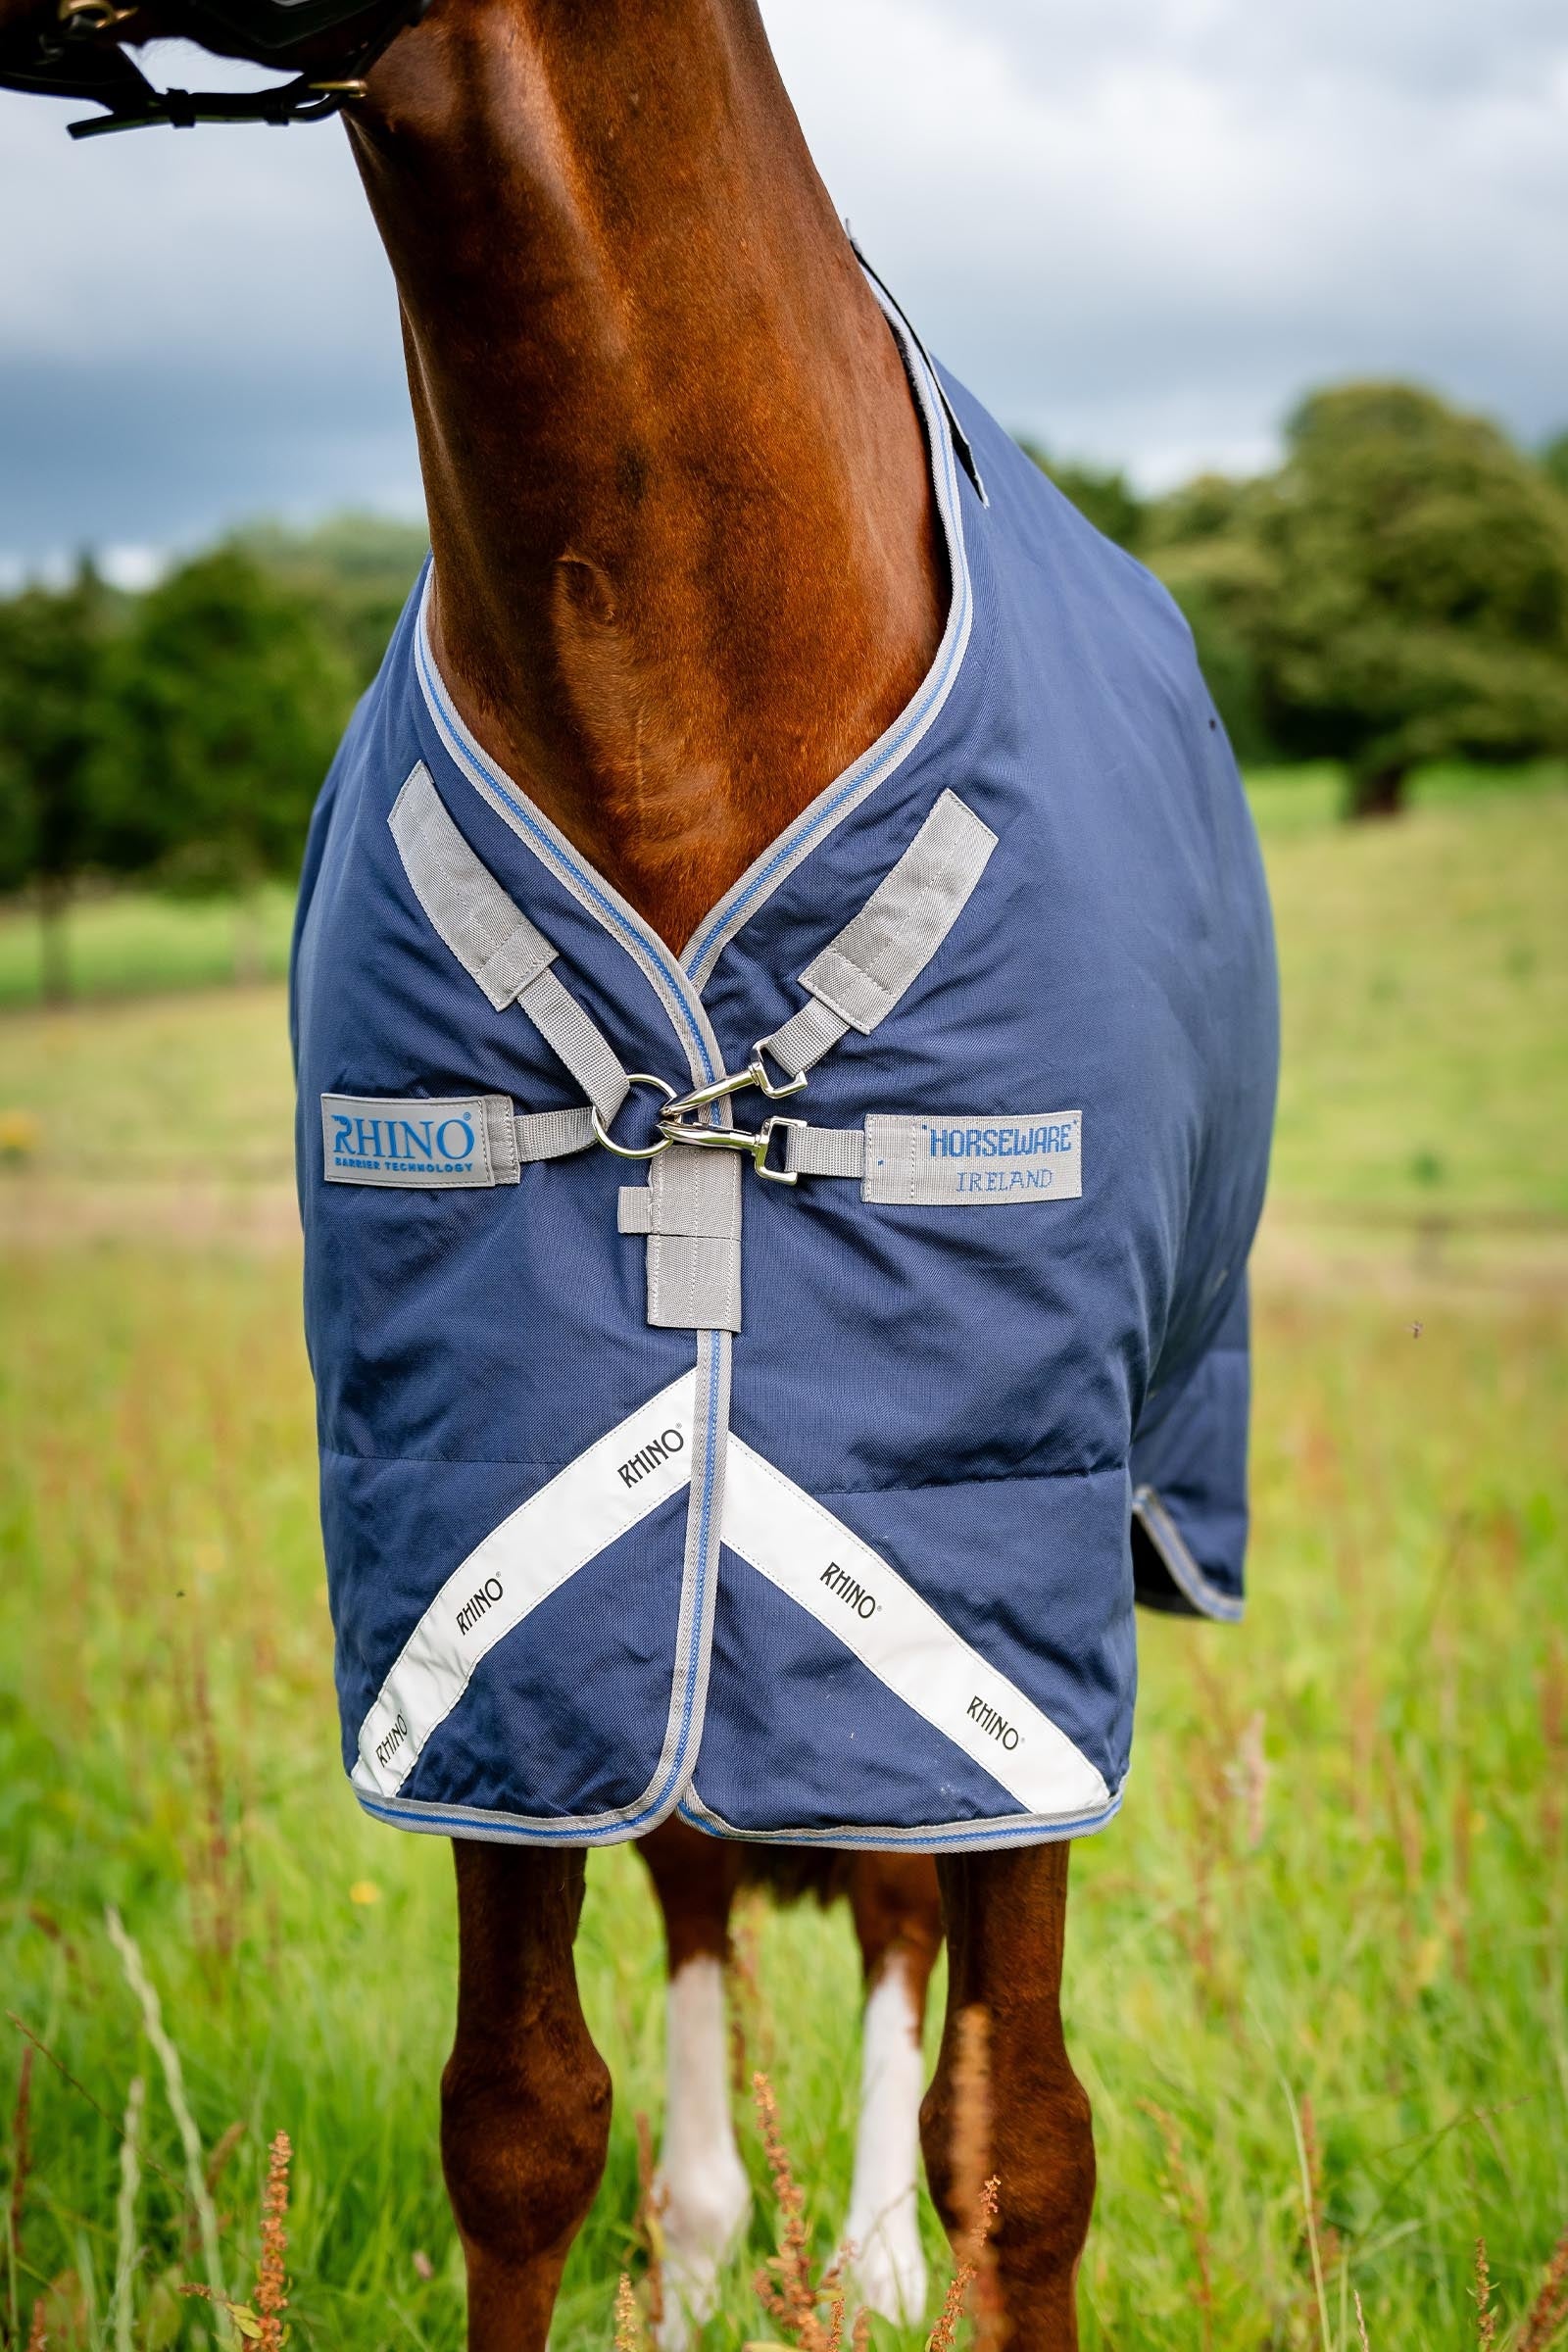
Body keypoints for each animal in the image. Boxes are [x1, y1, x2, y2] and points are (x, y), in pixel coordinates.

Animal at [2, 4, 1278, 2346]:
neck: (677, 690)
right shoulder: (473, 1594)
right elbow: (519, 2119)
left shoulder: (1016, 1585)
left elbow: (1020, 2143)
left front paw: (909, 2237)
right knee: (696, 1856)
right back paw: (700, 2259)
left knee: (890, 1910)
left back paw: (856, 2257)